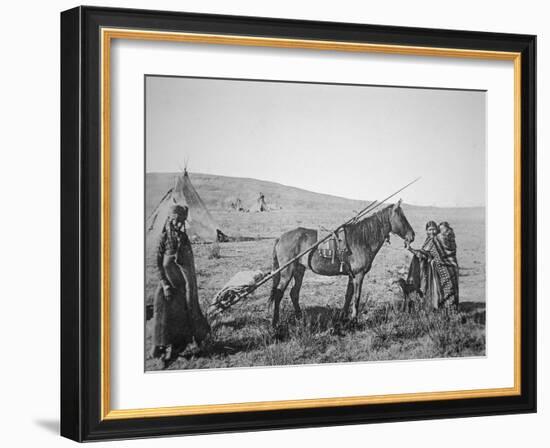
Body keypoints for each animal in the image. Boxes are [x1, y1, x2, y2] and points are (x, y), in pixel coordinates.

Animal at [270, 202, 416, 326]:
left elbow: (348, 296)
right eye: (402, 217)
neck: (362, 239)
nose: (412, 235)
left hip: (299, 270)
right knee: (279, 293)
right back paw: (275, 322)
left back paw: (300, 318)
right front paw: (354, 320)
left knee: (294, 293)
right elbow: (356, 297)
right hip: (287, 271)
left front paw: (343, 317)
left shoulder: (352, 276)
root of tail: (280, 238)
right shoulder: (359, 275)